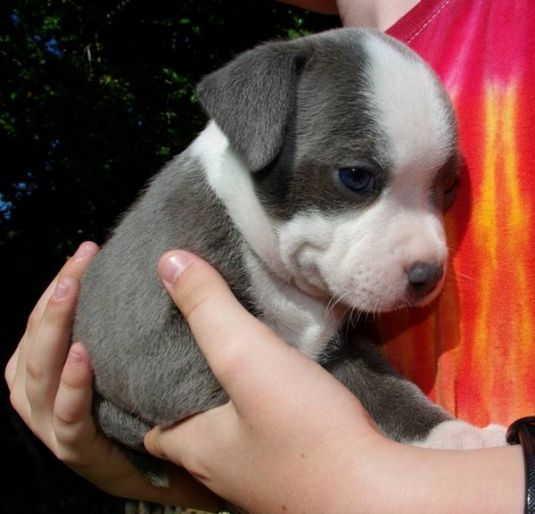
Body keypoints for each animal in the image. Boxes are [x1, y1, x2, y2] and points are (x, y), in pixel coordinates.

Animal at [74, 28, 506, 484]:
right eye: (356, 176)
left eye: (447, 188)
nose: (428, 274)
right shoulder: (153, 353)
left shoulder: (345, 347)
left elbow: (390, 392)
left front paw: (458, 438)